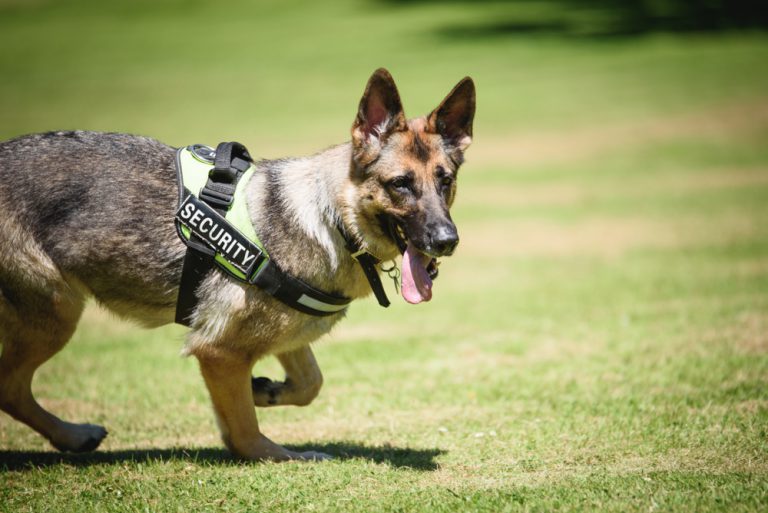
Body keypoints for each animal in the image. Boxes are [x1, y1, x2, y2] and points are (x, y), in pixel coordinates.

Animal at [0, 67, 474, 460]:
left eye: (446, 181)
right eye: (401, 185)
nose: (446, 241)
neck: (332, 219)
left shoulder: (282, 333)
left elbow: (310, 384)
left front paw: (266, 390)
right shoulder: (219, 351)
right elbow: (246, 431)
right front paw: (277, 453)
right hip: (57, 311)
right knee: (10, 386)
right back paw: (72, 434)